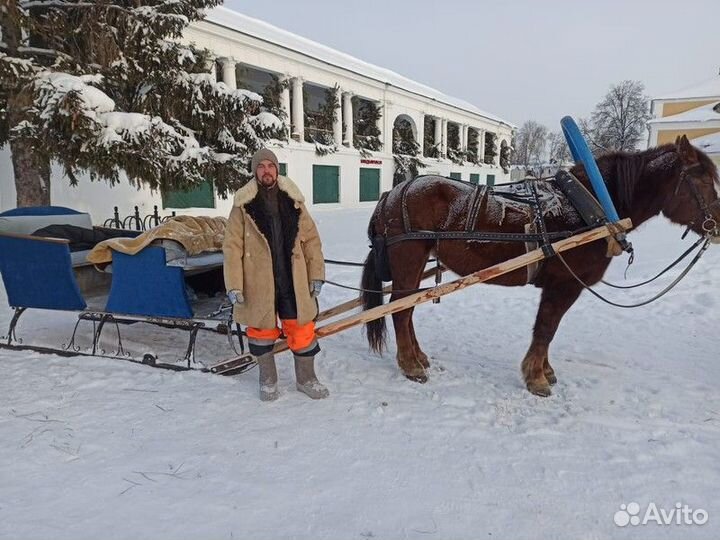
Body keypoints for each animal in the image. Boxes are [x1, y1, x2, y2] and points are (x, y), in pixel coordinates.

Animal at [362, 136, 720, 396]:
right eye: (703, 182)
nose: (717, 226)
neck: (592, 206)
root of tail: (392, 193)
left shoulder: (560, 285)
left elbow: (548, 328)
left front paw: (544, 370)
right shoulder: (565, 283)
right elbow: (547, 328)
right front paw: (536, 378)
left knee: (406, 309)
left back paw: (418, 358)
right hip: (409, 259)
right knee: (400, 309)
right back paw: (410, 365)